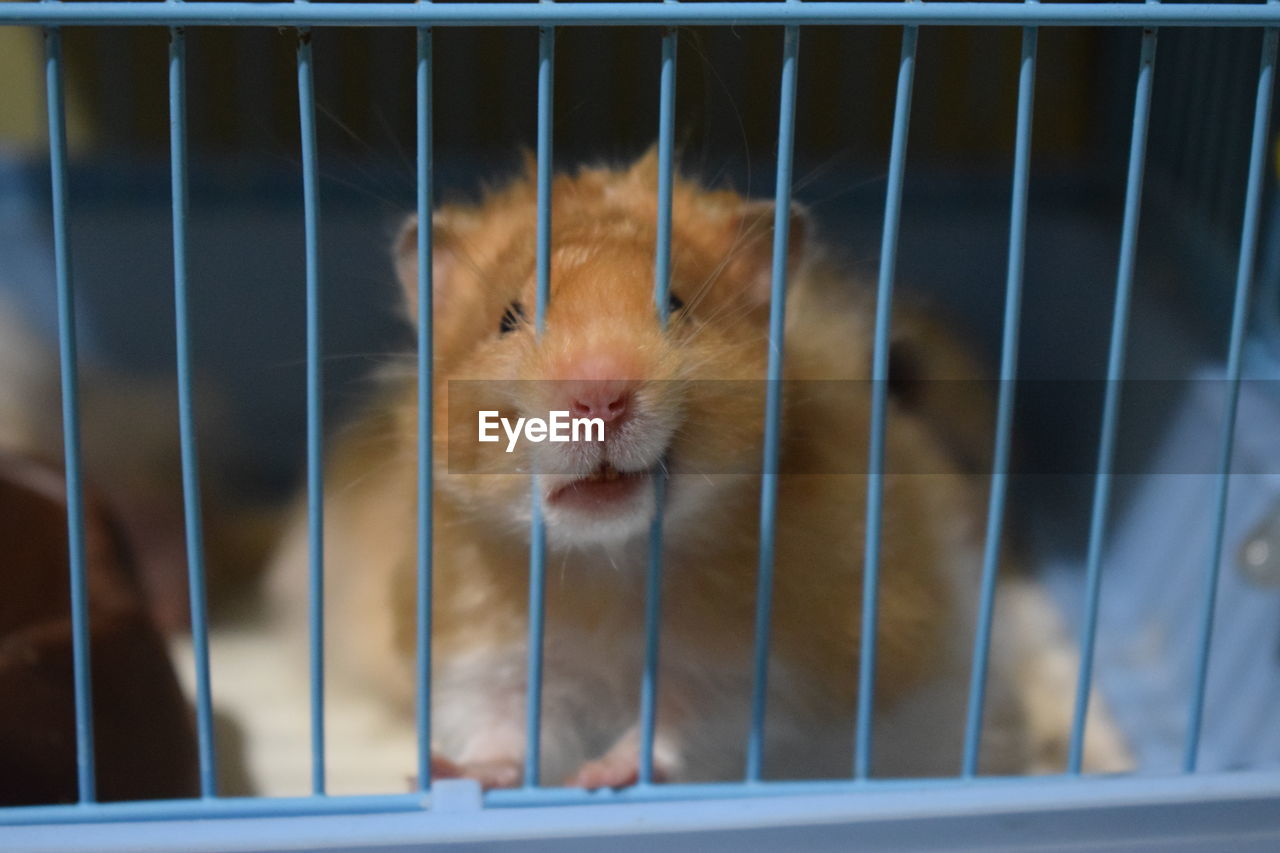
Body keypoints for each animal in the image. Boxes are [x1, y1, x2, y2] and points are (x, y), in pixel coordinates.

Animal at [267, 149, 1121, 788]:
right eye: (508, 318)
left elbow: (679, 725)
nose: (599, 393)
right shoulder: (488, 655)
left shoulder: (766, 669)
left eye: (675, 305)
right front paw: (444, 773)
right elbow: (503, 730)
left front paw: (603, 777)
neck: (609, 565)